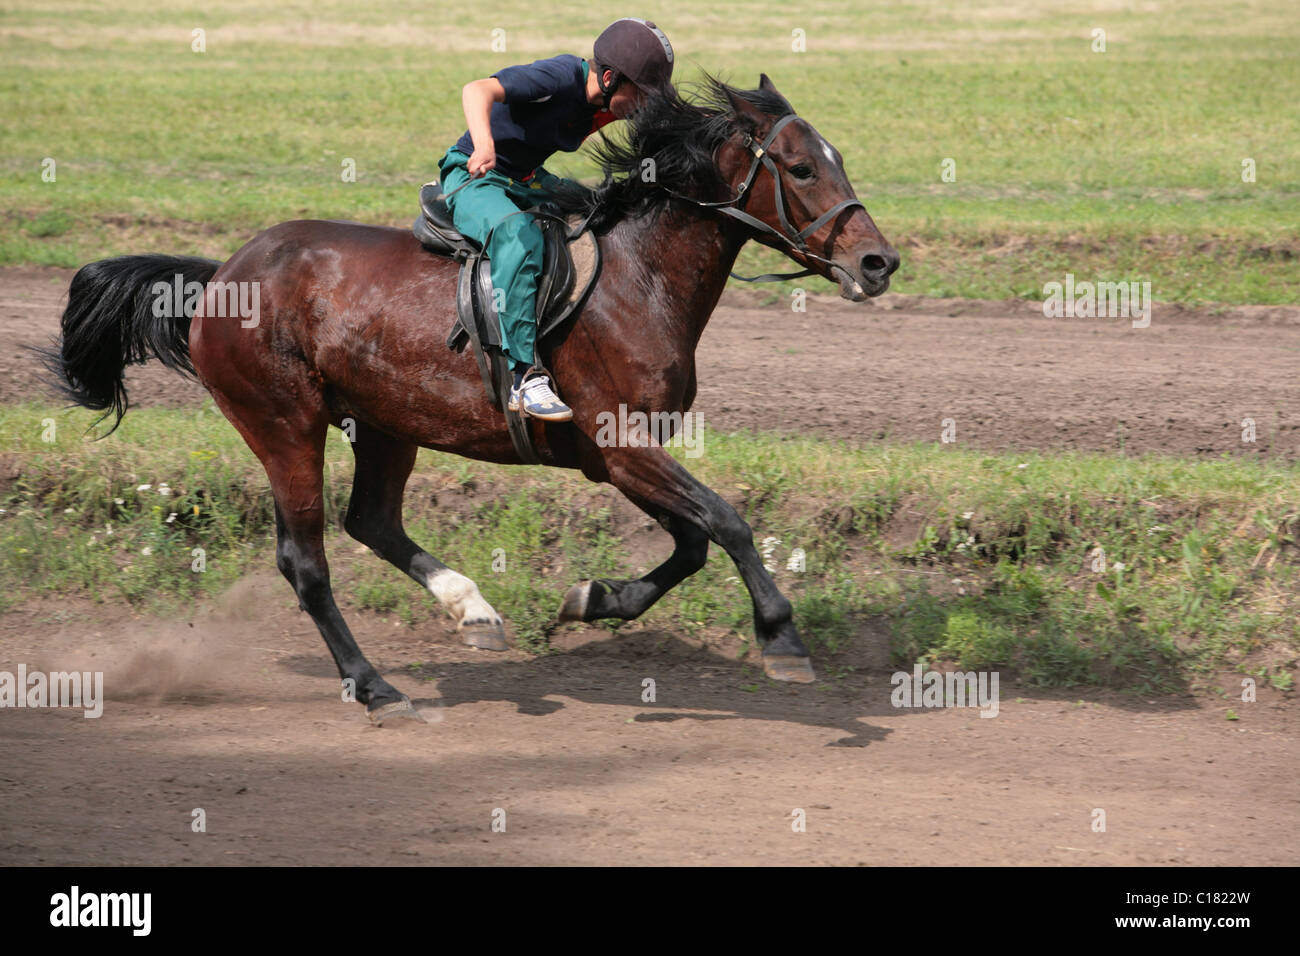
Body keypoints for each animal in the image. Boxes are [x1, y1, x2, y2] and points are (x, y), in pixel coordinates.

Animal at [45, 74, 899, 723]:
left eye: (834, 160)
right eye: (799, 168)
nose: (879, 262)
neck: (639, 279)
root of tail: (220, 274)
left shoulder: (617, 456)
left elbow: (693, 541)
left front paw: (592, 599)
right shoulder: (621, 444)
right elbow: (727, 521)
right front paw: (781, 637)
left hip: (386, 424)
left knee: (372, 522)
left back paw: (472, 609)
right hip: (284, 423)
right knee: (306, 561)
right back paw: (376, 687)